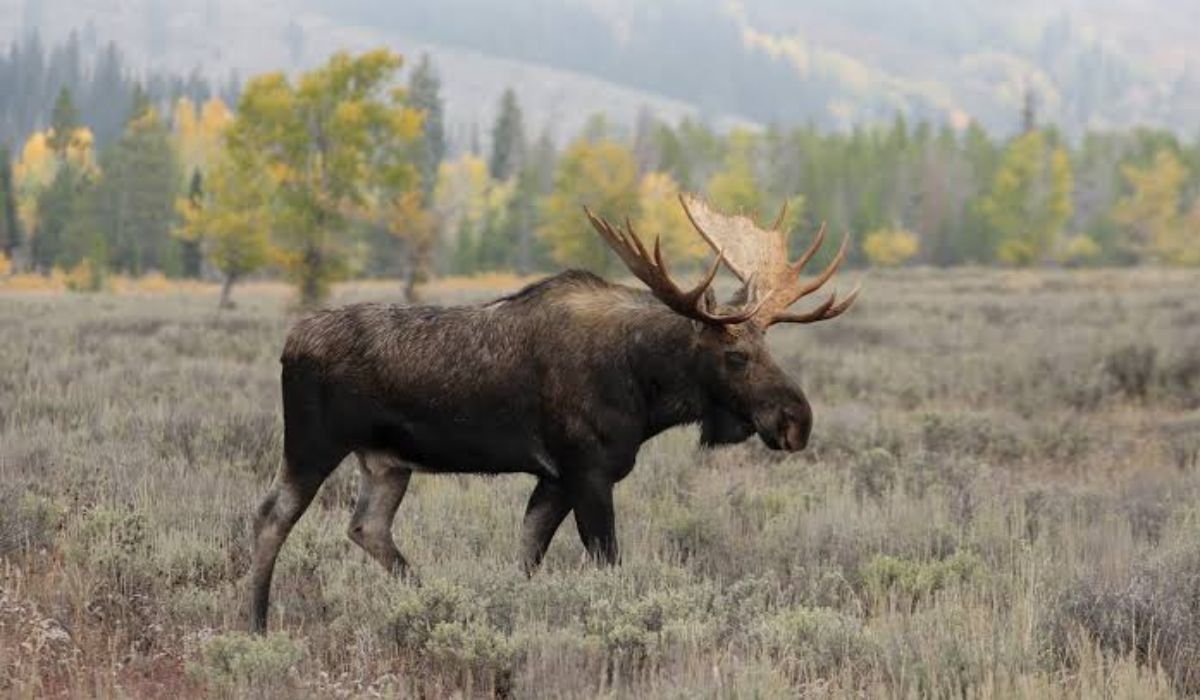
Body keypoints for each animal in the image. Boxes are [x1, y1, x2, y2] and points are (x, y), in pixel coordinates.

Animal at [248, 194, 859, 632]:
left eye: (768, 345)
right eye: (735, 355)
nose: (797, 420)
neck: (646, 387)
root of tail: (289, 343)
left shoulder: (555, 477)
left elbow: (528, 554)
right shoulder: (587, 470)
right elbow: (606, 560)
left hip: (386, 461)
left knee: (367, 527)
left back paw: (426, 596)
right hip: (312, 443)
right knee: (272, 515)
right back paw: (255, 621)